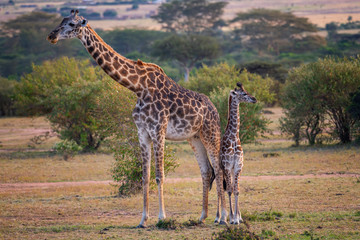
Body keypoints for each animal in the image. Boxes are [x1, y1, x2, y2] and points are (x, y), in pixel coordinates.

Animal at [47, 9, 228, 227]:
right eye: (62, 21)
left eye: (72, 25)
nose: (51, 36)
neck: (138, 87)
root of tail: (214, 109)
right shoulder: (142, 132)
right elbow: (145, 176)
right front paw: (143, 219)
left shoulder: (158, 130)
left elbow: (159, 175)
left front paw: (161, 217)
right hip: (194, 138)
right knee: (207, 171)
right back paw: (204, 216)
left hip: (211, 133)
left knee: (219, 169)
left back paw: (222, 217)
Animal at [219, 81, 256, 224]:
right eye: (244, 93)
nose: (254, 99)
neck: (234, 137)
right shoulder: (228, 166)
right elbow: (229, 190)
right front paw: (232, 218)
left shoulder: (238, 166)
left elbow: (237, 190)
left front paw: (237, 217)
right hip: (221, 170)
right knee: (222, 189)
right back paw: (222, 217)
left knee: (233, 187)